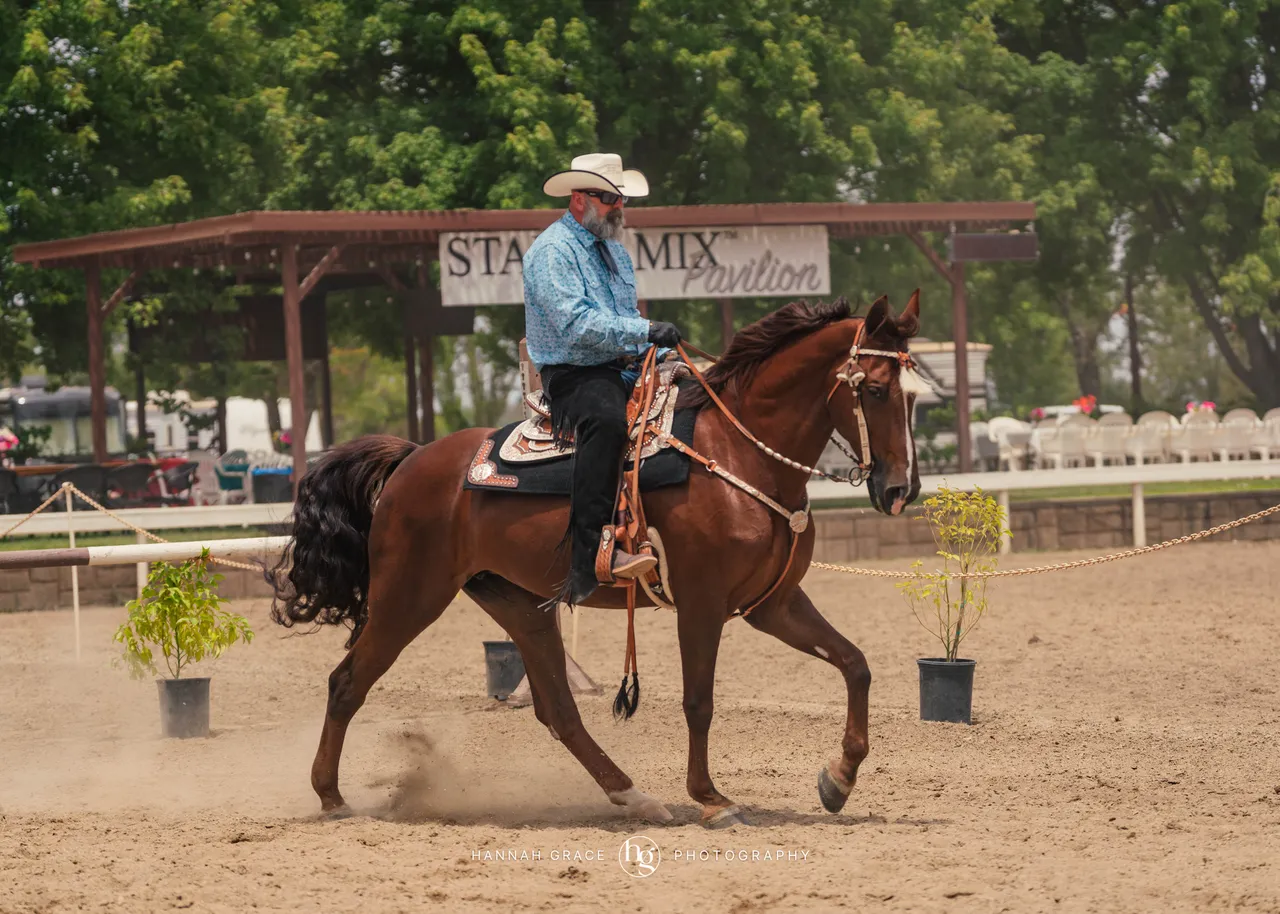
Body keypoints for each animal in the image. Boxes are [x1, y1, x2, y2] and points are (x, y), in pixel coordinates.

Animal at [270, 291, 923, 828]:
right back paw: (330, 797)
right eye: (873, 388)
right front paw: (712, 799)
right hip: (409, 597)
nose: (900, 489)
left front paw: (838, 780)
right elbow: (699, 701)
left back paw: (634, 796)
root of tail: (411, 458)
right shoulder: (703, 603)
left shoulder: (773, 603)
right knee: (347, 682)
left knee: (559, 710)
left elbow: (856, 664)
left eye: (914, 395)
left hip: (518, 604)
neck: (739, 453)